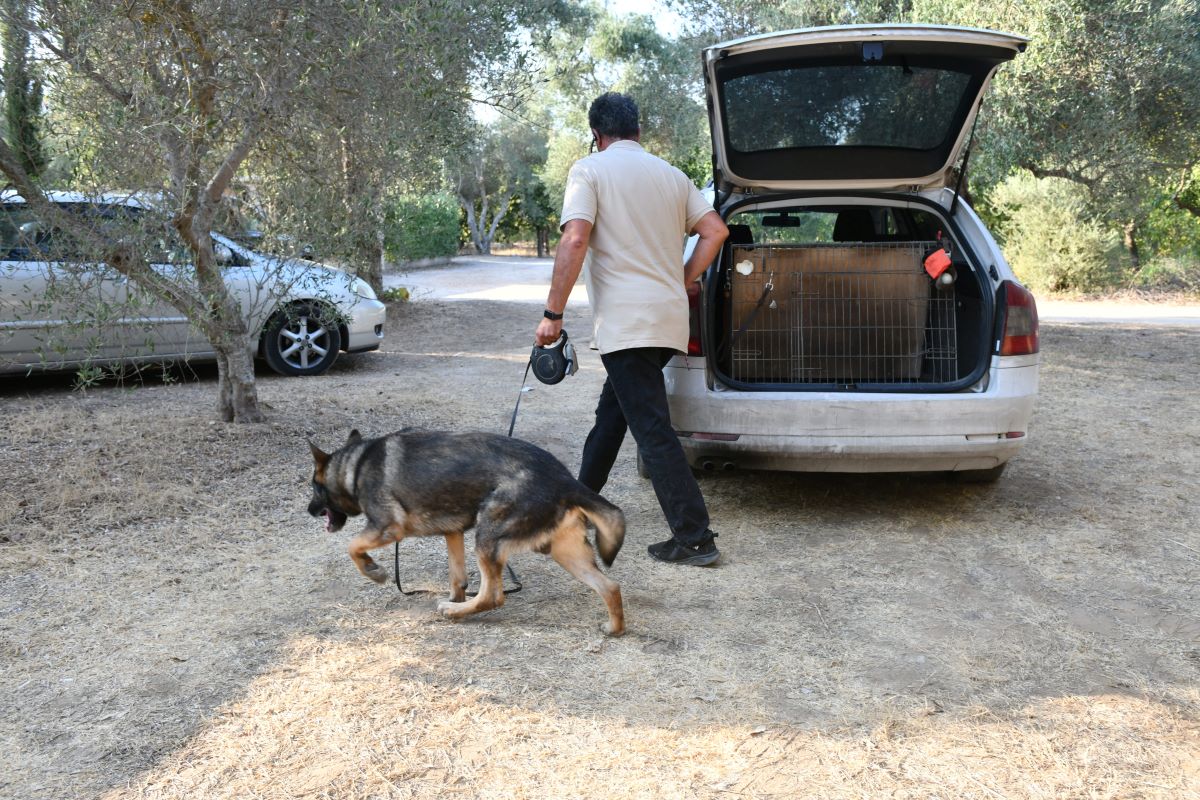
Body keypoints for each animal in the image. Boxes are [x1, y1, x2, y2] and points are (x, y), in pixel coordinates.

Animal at [307, 429, 628, 633]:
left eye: (314, 487)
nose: (309, 510)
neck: (354, 466)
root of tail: (565, 479)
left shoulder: (388, 528)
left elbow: (352, 546)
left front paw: (373, 570)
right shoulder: (454, 533)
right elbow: (457, 577)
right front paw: (457, 596)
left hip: (487, 537)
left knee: (493, 597)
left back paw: (453, 613)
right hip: (563, 552)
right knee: (610, 586)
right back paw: (614, 629)